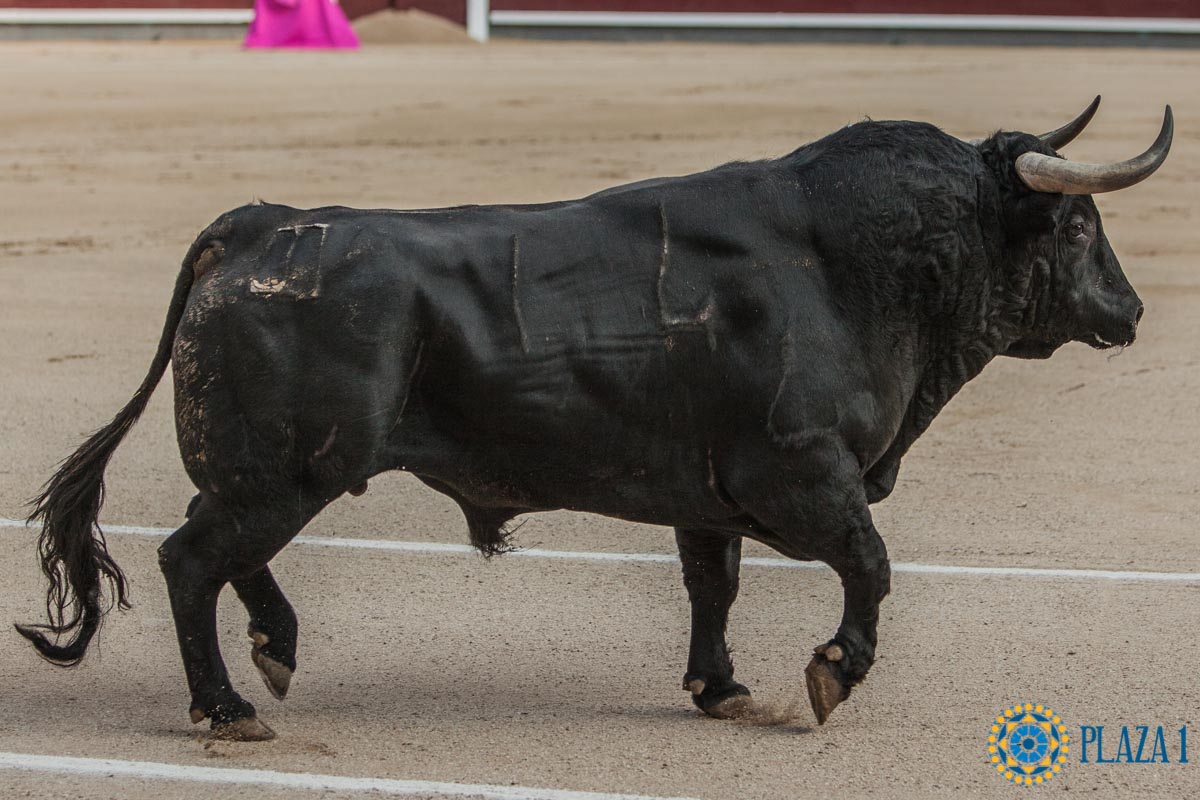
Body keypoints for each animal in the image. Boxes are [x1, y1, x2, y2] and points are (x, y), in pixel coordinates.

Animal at [16, 100, 1171, 738]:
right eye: (1076, 224)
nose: (1131, 311)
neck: (852, 267)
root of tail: (256, 224)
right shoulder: (806, 475)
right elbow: (871, 565)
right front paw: (831, 673)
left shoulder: (708, 494)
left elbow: (714, 584)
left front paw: (721, 687)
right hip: (284, 472)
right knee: (190, 558)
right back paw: (228, 706)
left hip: (274, 473)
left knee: (226, 555)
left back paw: (278, 650)